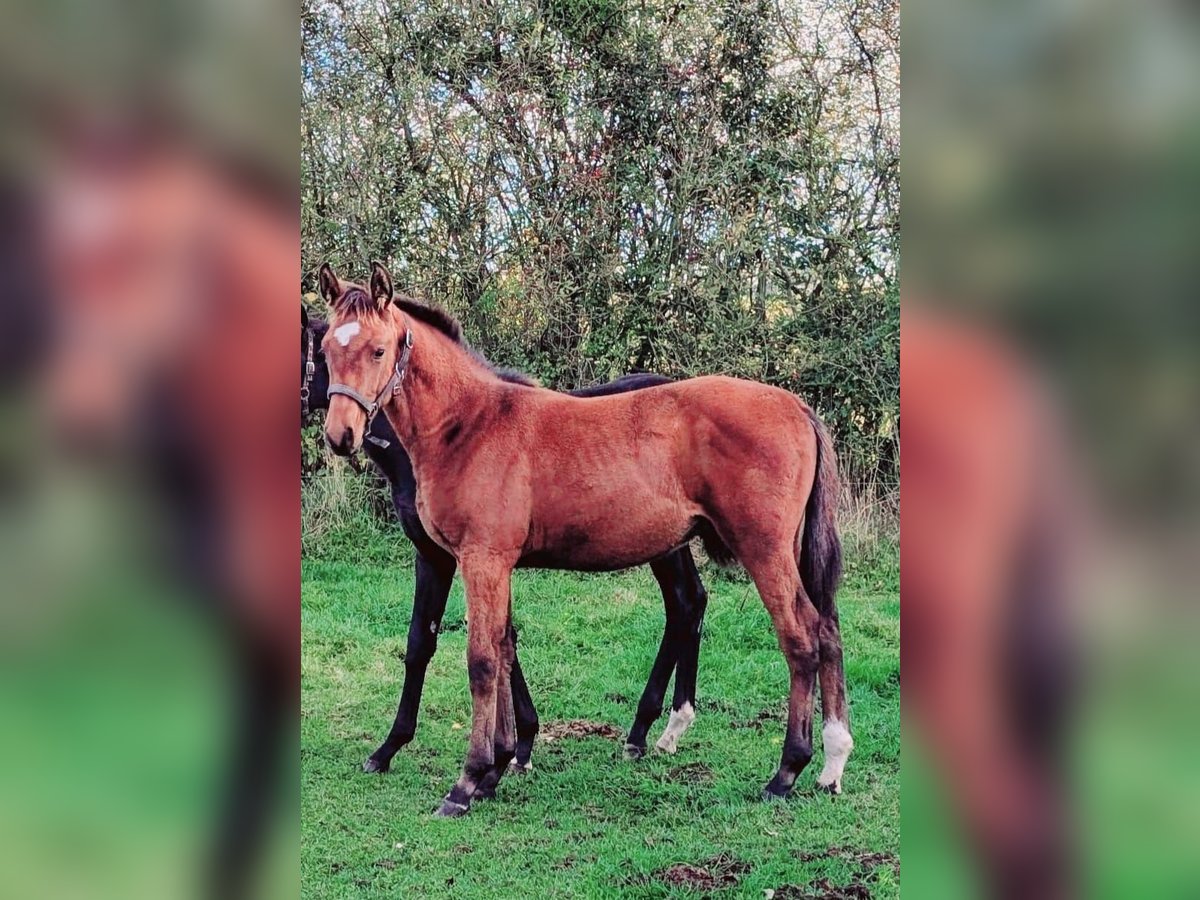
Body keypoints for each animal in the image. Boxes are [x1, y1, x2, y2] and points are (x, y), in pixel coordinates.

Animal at [302, 307, 712, 773]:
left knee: (684, 604)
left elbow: (425, 642)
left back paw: (656, 726)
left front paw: (392, 747)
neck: (451, 431)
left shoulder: (441, 557)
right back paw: (654, 729)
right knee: (688, 602)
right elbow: (504, 641)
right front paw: (518, 744)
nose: (339, 436)